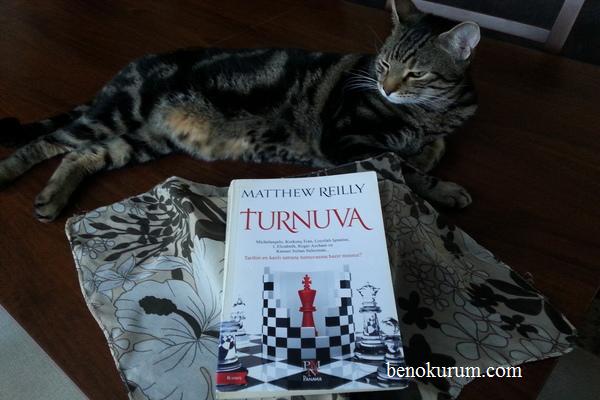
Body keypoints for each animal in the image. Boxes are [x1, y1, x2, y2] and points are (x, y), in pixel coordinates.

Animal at [0, 0, 479, 222]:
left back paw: (52, 196)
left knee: (82, 154)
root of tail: (133, 65)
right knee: (49, 141)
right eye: (383, 65)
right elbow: (404, 165)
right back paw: (8, 172)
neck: (432, 111)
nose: (386, 86)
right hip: (121, 110)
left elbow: (429, 149)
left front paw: (428, 152)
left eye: (415, 73)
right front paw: (444, 188)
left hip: (144, 139)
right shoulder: (347, 140)